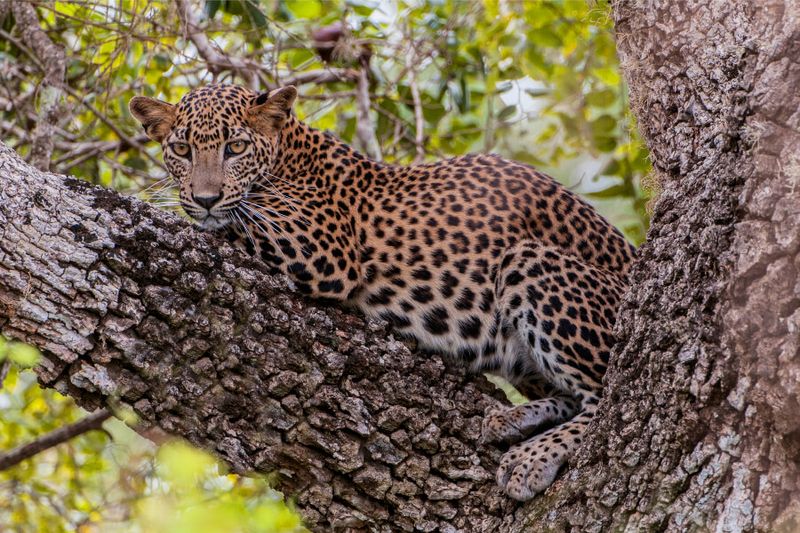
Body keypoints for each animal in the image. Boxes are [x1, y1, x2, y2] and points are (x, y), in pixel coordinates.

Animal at [130, 82, 632, 498]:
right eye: (181, 149)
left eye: (235, 147)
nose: (205, 197)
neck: (288, 151)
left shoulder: (322, 245)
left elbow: (232, 221)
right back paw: (509, 420)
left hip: (529, 261)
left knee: (606, 397)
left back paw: (530, 459)